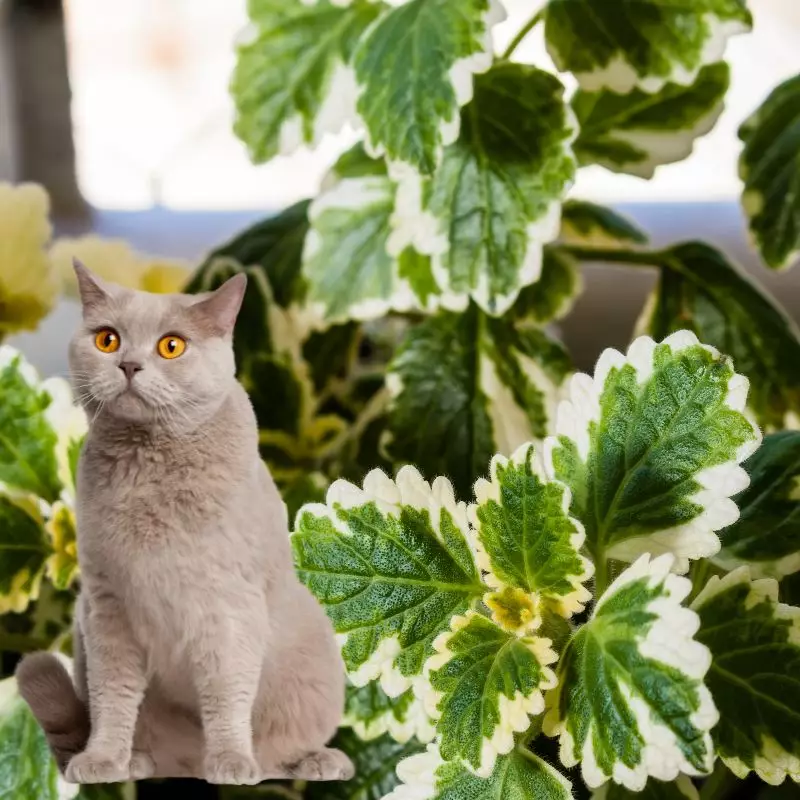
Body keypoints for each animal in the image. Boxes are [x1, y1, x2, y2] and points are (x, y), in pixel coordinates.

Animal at [14, 260, 354, 784]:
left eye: (171, 346)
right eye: (107, 339)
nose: (129, 365)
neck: (148, 470)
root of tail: (189, 764)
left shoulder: (227, 609)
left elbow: (226, 695)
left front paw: (232, 762)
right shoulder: (107, 608)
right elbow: (113, 698)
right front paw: (103, 760)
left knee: (279, 749)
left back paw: (313, 761)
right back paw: (137, 762)